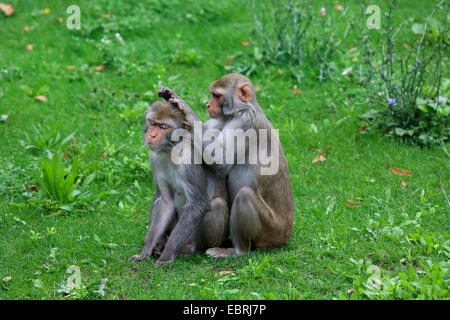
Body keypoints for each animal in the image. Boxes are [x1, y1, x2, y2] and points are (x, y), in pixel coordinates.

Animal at [129, 101, 230, 266]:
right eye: (153, 123)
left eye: (164, 127)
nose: (152, 135)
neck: (171, 150)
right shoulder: (155, 159)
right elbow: (166, 204)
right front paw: (145, 250)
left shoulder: (188, 162)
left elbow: (198, 205)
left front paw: (167, 255)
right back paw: (159, 245)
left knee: (217, 204)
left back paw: (189, 250)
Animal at [159, 72, 296, 258]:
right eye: (212, 95)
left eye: (217, 95)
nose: (208, 105)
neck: (240, 109)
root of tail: (284, 236)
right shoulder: (219, 121)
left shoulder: (244, 122)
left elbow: (222, 162)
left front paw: (185, 108)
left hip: (270, 230)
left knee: (245, 195)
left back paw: (238, 251)